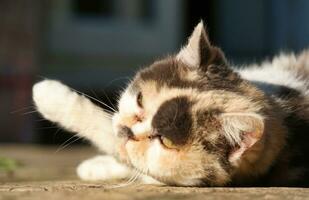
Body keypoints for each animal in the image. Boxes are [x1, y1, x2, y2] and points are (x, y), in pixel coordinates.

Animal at [31, 21, 308, 187]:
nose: (126, 131)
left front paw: (49, 96)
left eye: (165, 141)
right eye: (140, 99)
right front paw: (97, 165)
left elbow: (107, 133)